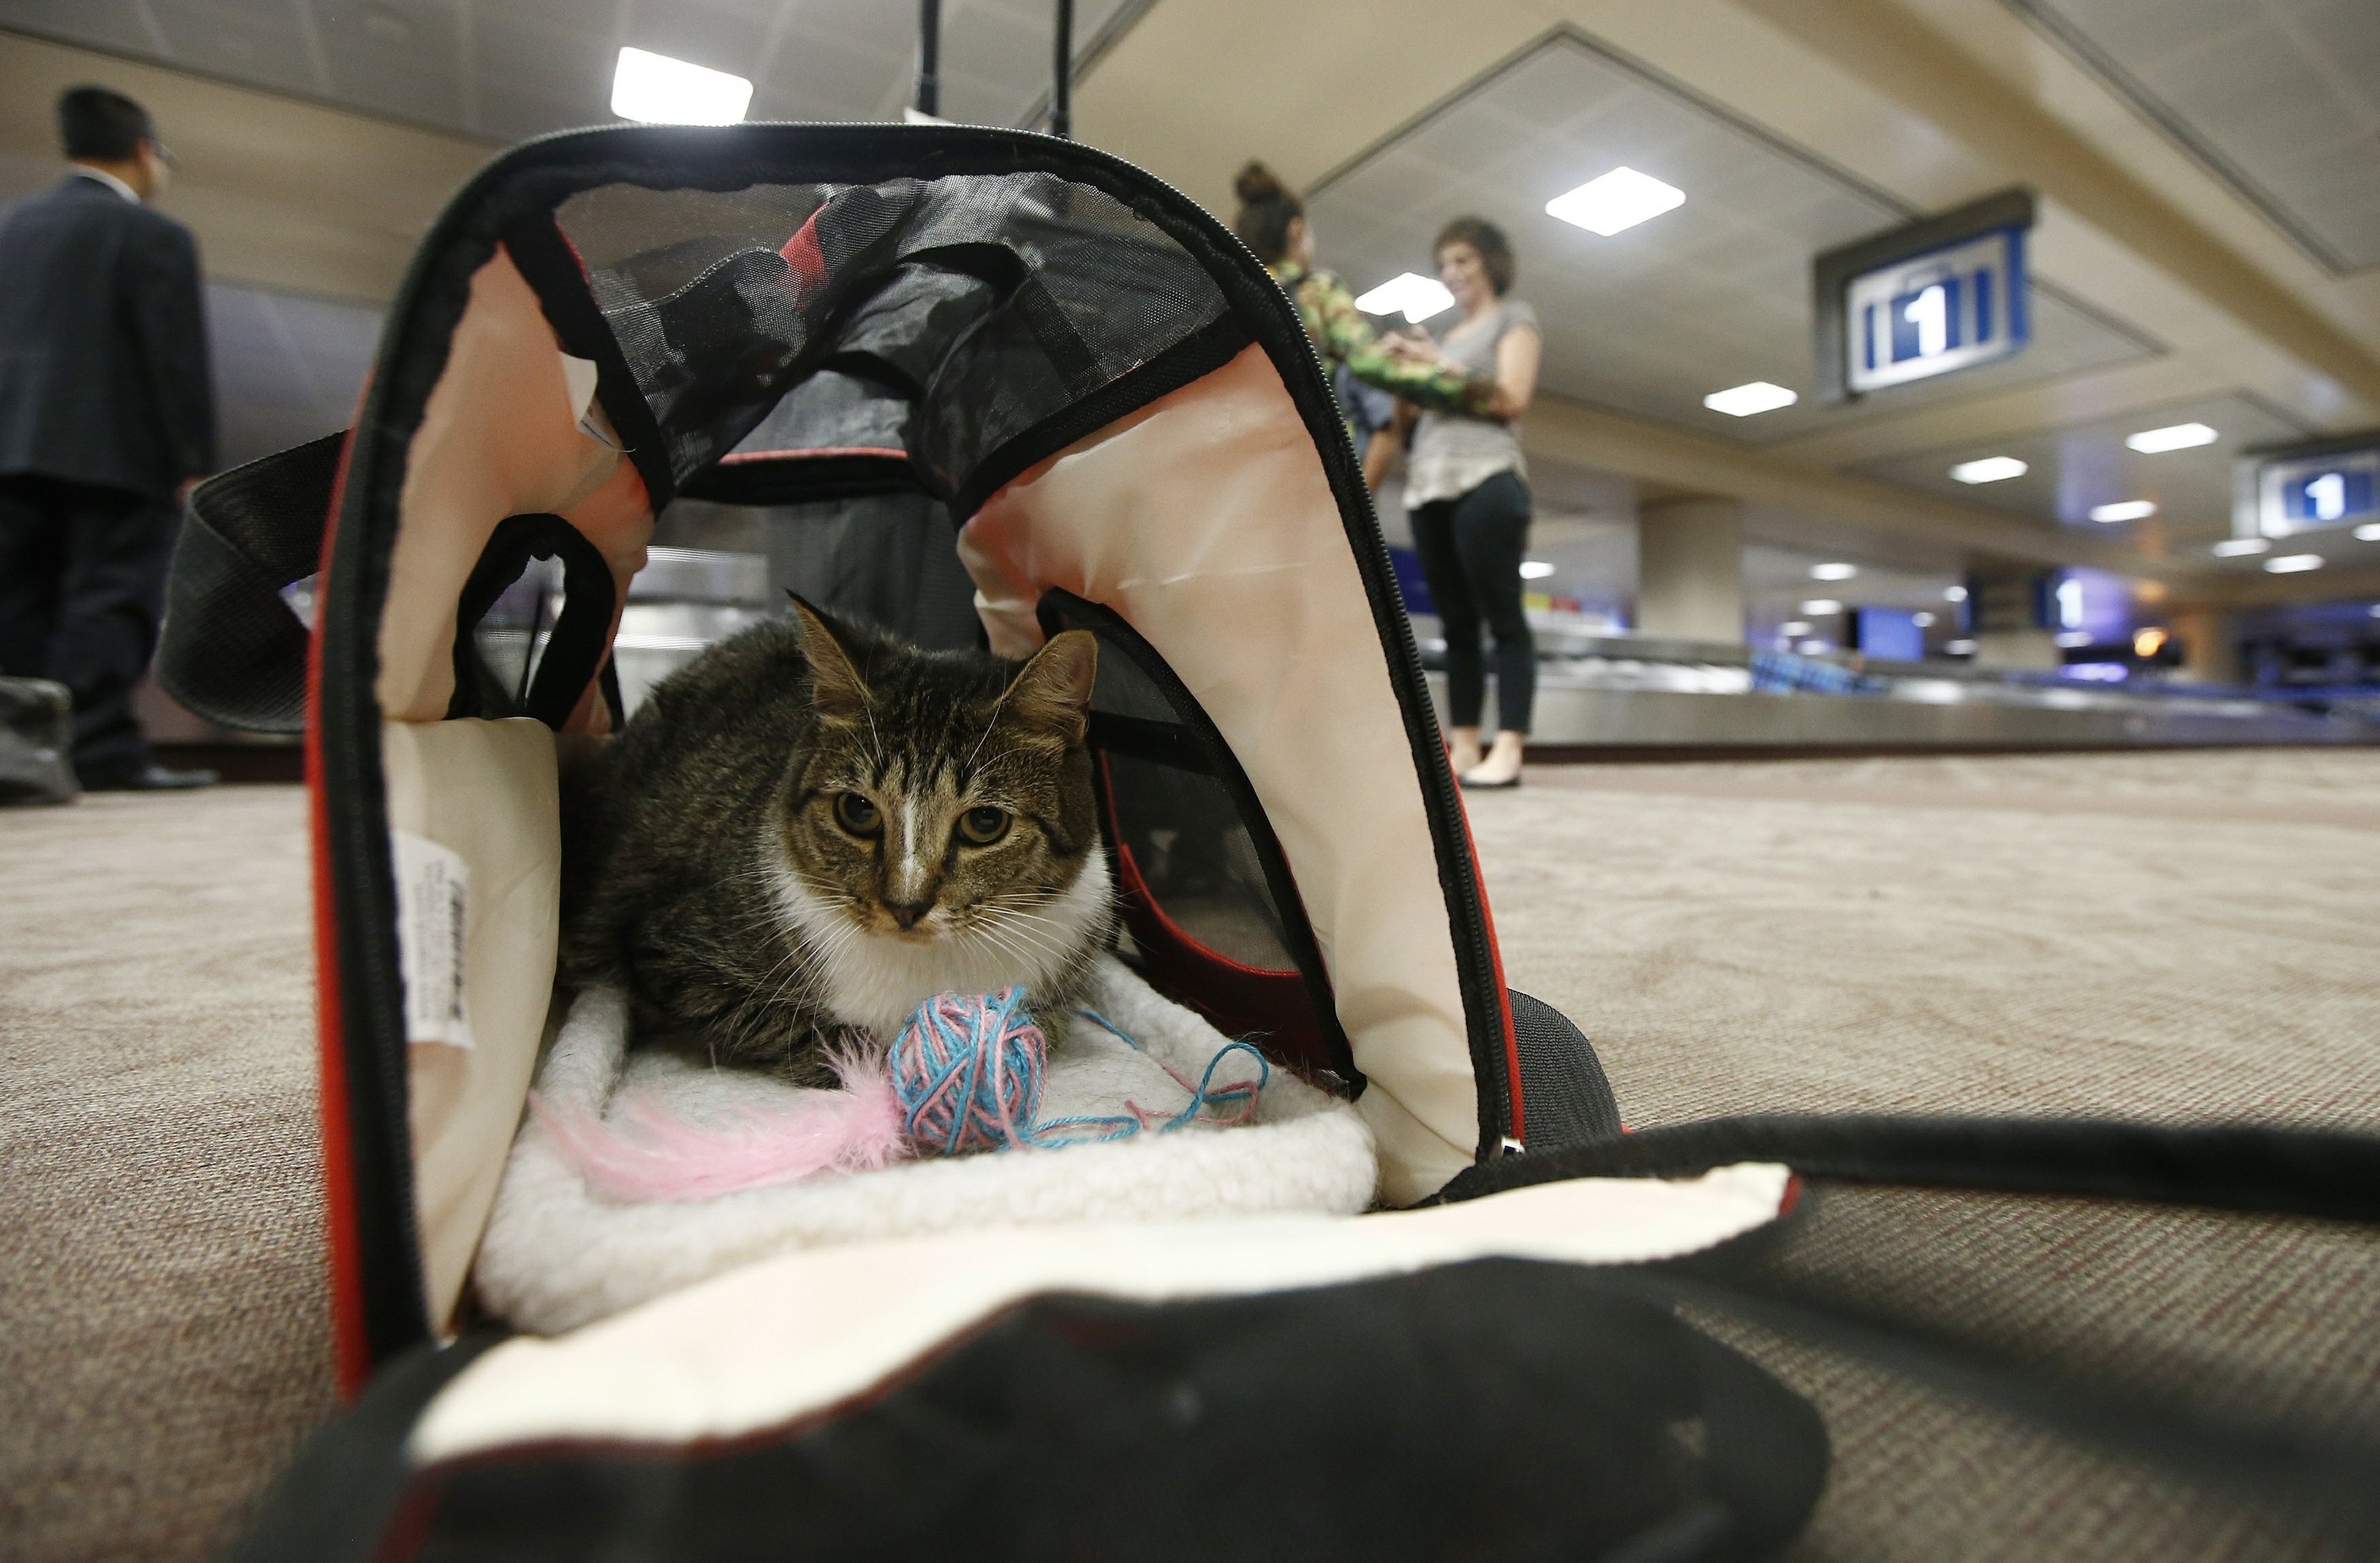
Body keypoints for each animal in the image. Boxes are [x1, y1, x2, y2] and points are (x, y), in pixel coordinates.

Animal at [562, 592, 1109, 1080]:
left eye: (985, 824)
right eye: (857, 811)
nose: (905, 906)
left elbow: (1052, 1022)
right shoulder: (670, 952)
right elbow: (808, 1032)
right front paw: (876, 1063)